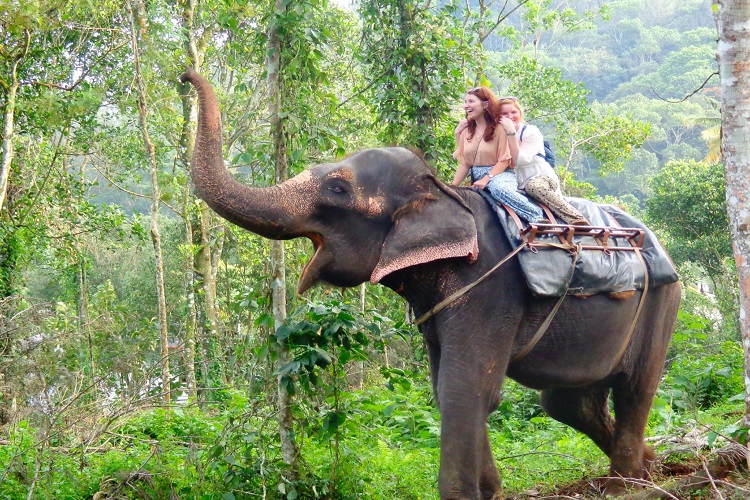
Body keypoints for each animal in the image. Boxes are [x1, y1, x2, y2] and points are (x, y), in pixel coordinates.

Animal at [181, 67, 680, 500]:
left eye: (338, 189)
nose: (185, 76)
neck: (441, 192)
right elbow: (445, 388)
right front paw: (490, 491)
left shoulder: (487, 287)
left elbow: (467, 388)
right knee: (567, 400)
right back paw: (649, 465)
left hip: (662, 298)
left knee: (634, 386)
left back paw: (624, 484)